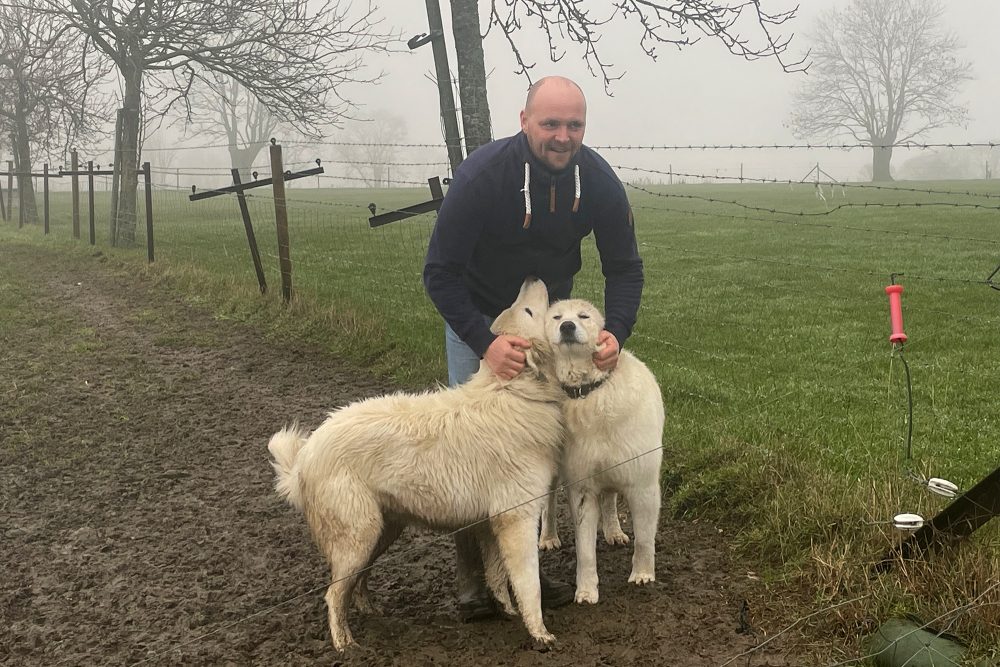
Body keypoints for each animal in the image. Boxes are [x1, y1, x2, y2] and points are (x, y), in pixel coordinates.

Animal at [268, 280, 564, 656]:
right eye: (528, 310)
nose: (530, 279)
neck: (513, 391)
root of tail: (305, 455)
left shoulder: (491, 523)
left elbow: (498, 575)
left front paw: (508, 611)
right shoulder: (517, 518)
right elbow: (528, 583)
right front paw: (539, 632)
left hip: (381, 531)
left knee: (355, 583)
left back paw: (368, 610)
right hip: (358, 535)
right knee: (333, 595)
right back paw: (345, 643)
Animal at [540, 300, 664, 608]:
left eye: (584, 316)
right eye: (556, 317)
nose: (567, 326)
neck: (591, 393)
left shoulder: (643, 484)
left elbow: (645, 538)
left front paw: (643, 574)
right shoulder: (582, 489)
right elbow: (585, 551)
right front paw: (586, 591)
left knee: (609, 498)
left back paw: (614, 531)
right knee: (548, 504)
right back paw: (548, 537)